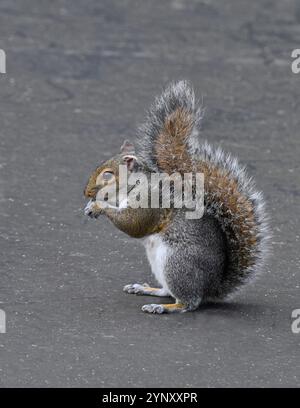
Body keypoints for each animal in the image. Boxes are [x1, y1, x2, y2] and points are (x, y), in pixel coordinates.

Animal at [84, 81, 270, 314]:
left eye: (108, 175)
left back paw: (162, 307)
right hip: (160, 265)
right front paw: (90, 206)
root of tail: (211, 287)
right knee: (167, 291)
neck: (135, 185)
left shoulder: (150, 201)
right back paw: (146, 289)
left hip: (176, 264)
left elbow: (134, 224)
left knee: (188, 303)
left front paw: (98, 206)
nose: (86, 192)